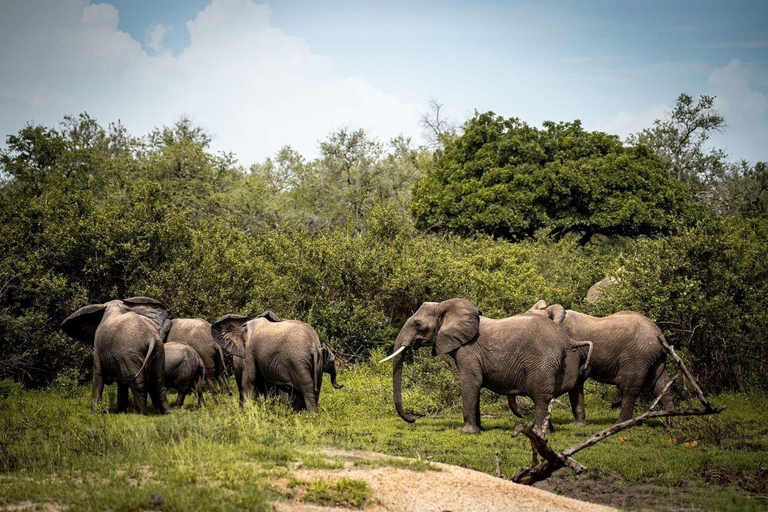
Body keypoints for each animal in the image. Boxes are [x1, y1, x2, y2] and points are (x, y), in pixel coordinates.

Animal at [210, 312, 342, 412]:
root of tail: (313, 345)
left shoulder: (250, 350)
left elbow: (249, 380)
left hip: (298, 361)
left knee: (306, 388)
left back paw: (311, 415)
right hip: (316, 362)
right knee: (314, 388)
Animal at [380, 298, 592, 434]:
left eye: (417, 324)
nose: (413, 419)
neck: (447, 308)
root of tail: (566, 339)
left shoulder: (468, 351)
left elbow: (470, 382)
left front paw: (468, 432)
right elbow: (475, 386)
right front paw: (479, 429)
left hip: (543, 362)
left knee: (541, 397)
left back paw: (539, 433)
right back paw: (549, 431)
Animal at [528, 298, 672, 422]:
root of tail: (659, 335)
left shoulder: (570, 347)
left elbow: (572, 378)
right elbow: (577, 381)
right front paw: (578, 424)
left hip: (638, 356)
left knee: (627, 388)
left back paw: (620, 423)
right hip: (655, 359)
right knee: (662, 386)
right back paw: (671, 424)